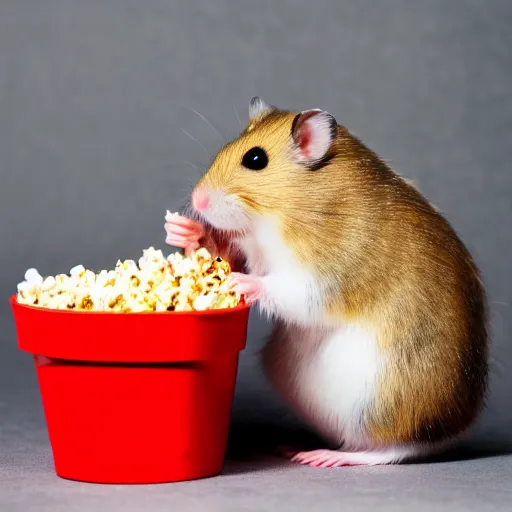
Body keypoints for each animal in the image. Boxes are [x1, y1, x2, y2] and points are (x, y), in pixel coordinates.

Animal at [166, 97, 490, 468]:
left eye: (255, 159)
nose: (197, 199)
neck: (282, 214)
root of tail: (453, 430)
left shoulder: (323, 276)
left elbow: (284, 288)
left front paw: (241, 283)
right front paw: (185, 231)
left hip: (379, 400)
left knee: (394, 448)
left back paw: (325, 457)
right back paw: (294, 447)